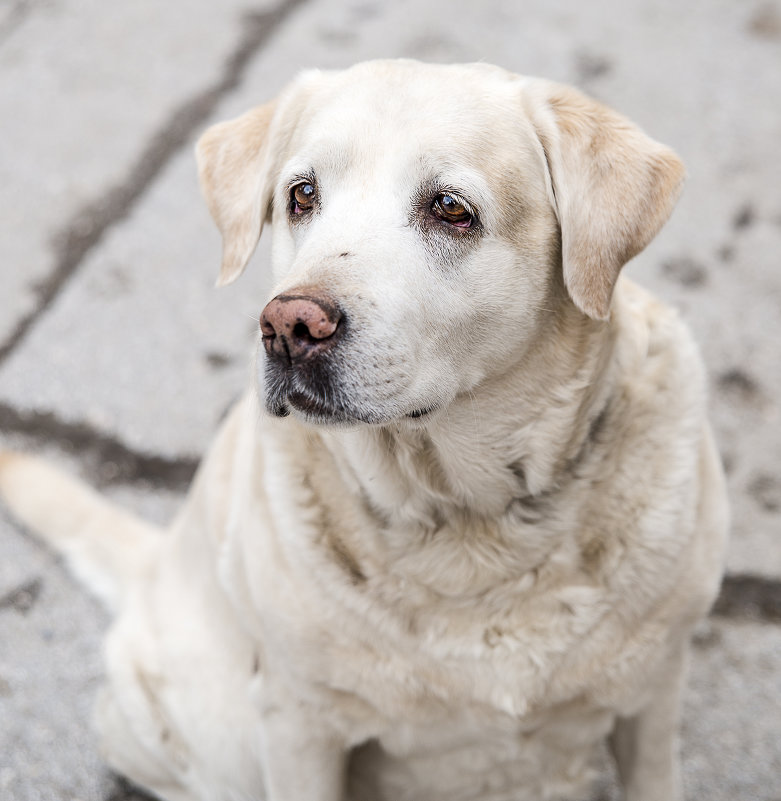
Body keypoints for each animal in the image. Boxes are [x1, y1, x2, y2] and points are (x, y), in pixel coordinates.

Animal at [1, 59, 732, 796]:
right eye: (301, 195)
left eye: (450, 209)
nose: (288, 326)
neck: (467, 518)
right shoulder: (298, 720)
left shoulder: (652, 694)